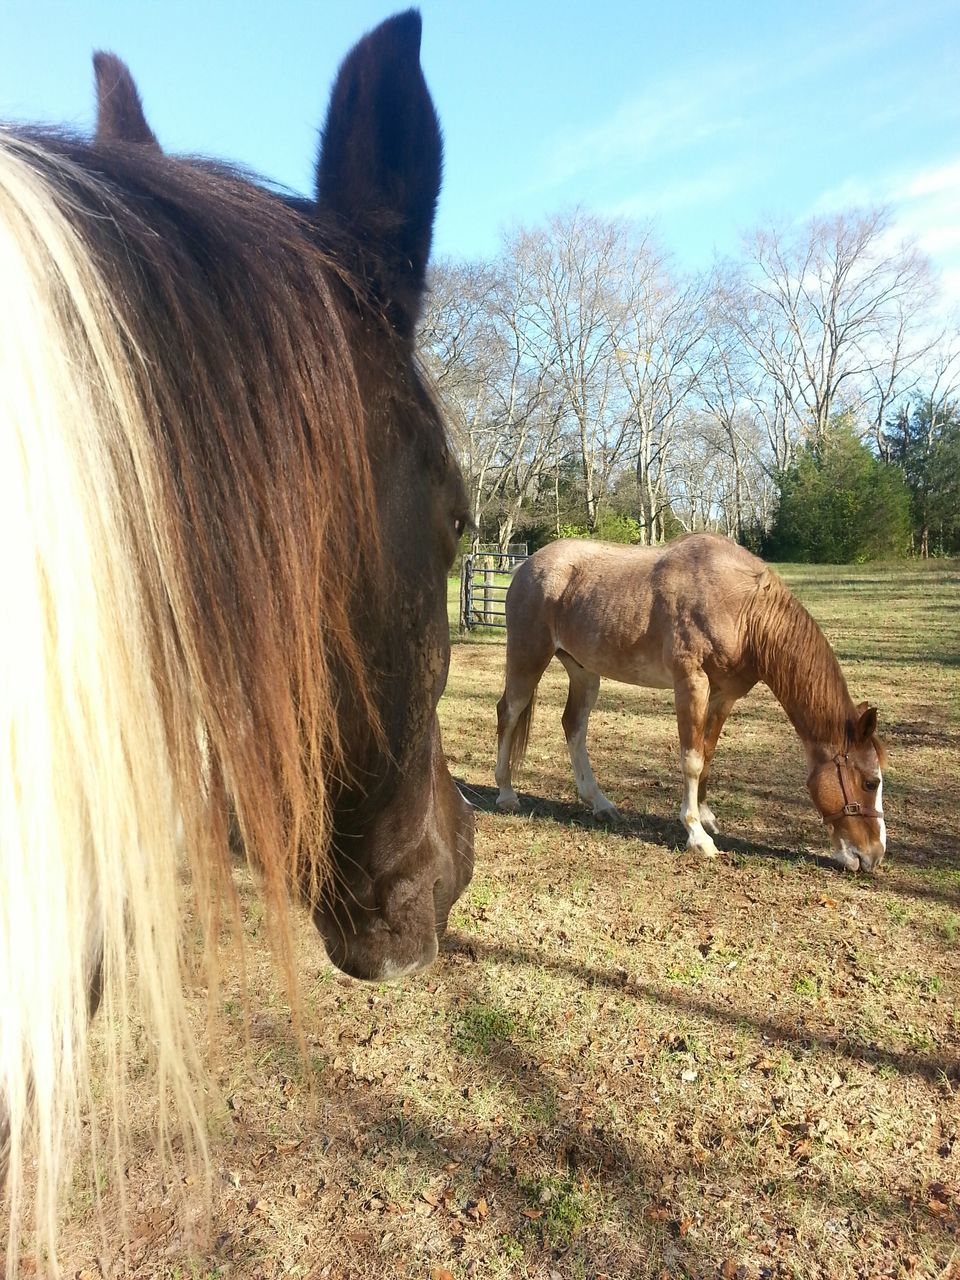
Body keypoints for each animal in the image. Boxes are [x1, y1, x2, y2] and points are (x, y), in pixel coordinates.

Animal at [499, 529, 890, 870]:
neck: (744, 609)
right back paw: (506, 793)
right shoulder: (691, 682)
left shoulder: (724, 695)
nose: (873, 856)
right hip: (528, 658)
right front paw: (697, 835)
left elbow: (708, 753)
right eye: (871, 782)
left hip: (583, 672)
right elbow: (691, 759)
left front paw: (705, 816)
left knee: (574, 726)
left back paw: (600, 803)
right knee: (509, 712)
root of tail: (526, 566)